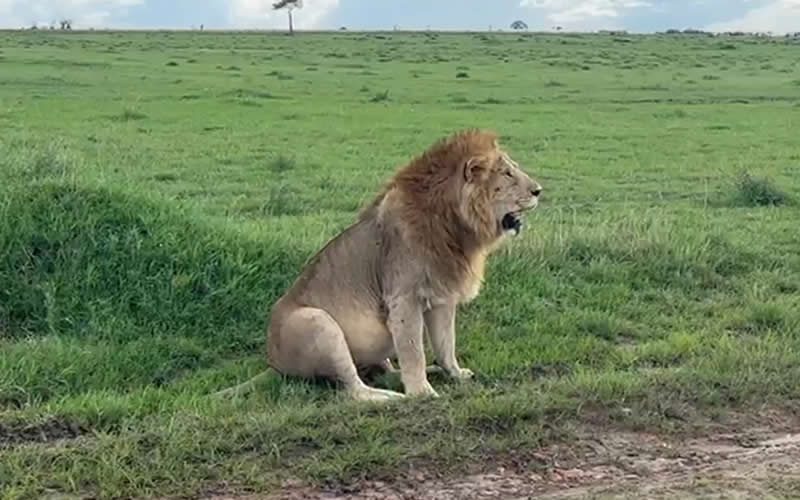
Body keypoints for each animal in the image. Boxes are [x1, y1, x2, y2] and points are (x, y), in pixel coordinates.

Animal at [214, 129, 542, 401]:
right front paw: (421, 393)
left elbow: (445, 344)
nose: (539, 190)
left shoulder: (442, 296)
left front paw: (454, 374)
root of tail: (275, 364)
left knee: (383, 371)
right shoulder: (403, 297)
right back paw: (391, 397)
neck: (457, 227)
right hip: (317, 323)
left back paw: (417, 376)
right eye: (508, 174)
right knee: (352, 390)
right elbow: (413, 349)